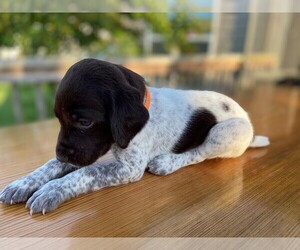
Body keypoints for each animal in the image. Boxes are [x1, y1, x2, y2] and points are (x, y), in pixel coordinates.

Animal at [0, 57, 270, 214]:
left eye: (84, 122)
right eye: (57, 118)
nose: (61, 153)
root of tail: (249, 127)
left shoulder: (128, 168)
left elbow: (84, 173)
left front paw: (52, 190)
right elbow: (50, 165)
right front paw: (22, 183)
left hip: (224, 132)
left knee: (199, 153)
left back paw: (166, 162)